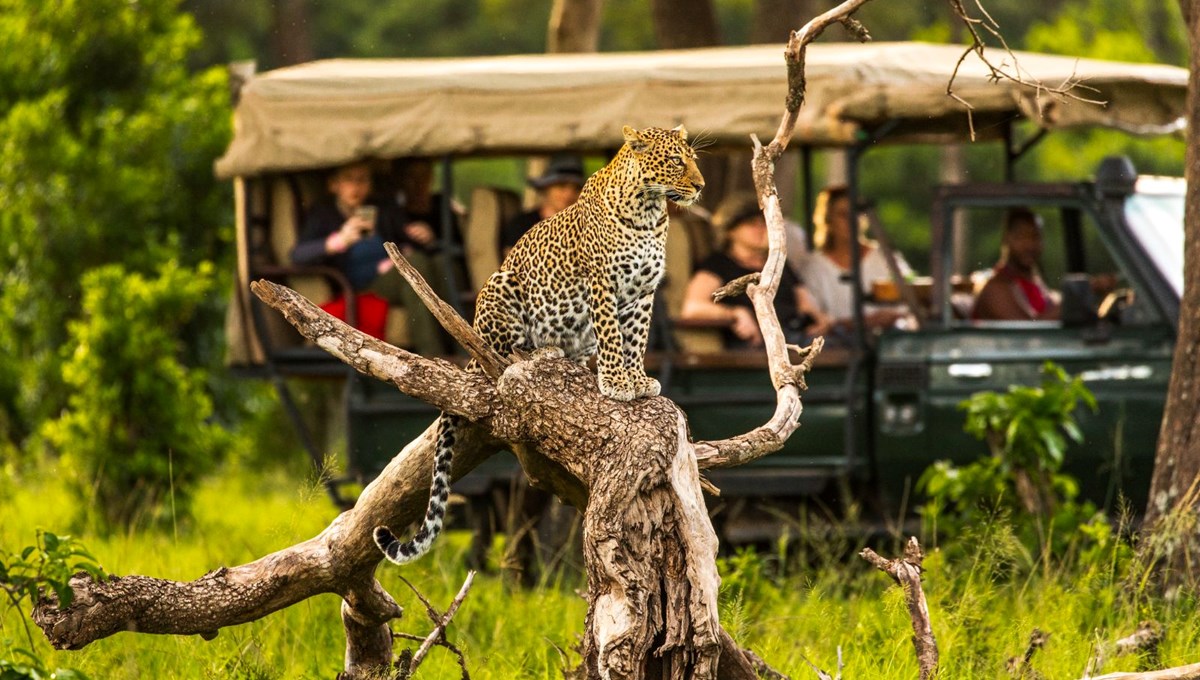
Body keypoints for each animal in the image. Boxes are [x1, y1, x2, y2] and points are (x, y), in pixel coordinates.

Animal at [376, 125, 700, 566]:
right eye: (675, 161)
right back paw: (540, 353)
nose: (700, 186)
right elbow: (612, 337)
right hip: (501, 285)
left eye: (693, 160)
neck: (649, 213)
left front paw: (637, 380)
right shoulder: (602, 284)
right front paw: (616, 383)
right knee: (501, 353)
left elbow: (636, 339)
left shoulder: (643, 293)